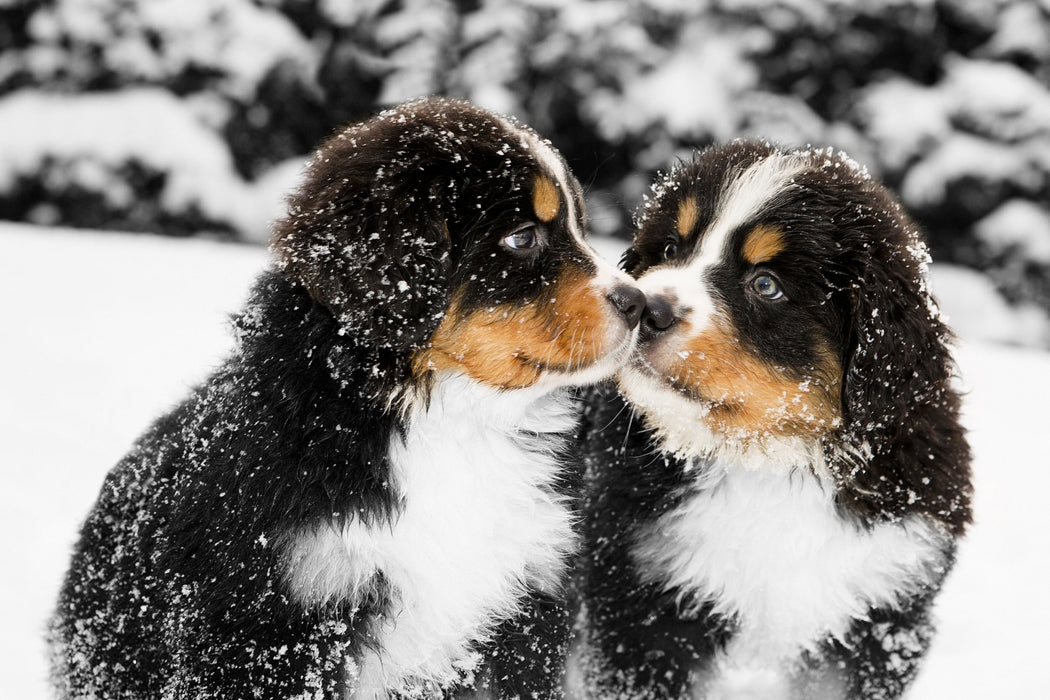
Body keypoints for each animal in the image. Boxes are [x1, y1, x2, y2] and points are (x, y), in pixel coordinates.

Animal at [49, 98, 642, 700]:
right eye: (523, 238)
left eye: (580, 226)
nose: (638, 303)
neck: (449, 421)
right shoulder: (275, 622)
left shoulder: (527, 603)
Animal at [575, 139, 974, 696]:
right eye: (671, 248)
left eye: (766, 285)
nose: (647, 307)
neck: (768, 461)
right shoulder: (643, 600)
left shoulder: (882, 610)